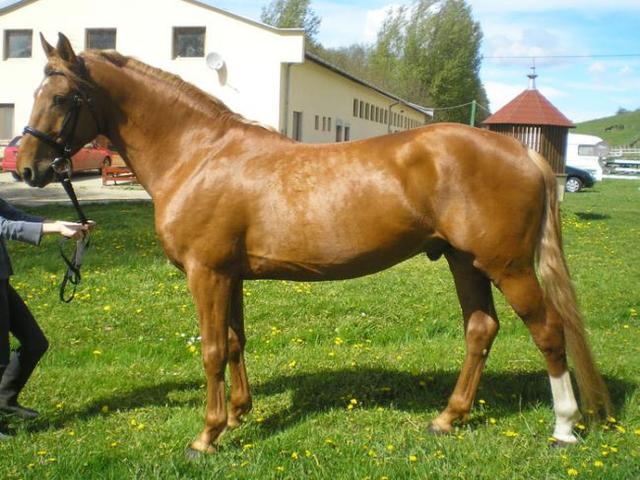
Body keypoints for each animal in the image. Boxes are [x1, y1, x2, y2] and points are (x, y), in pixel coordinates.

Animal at [18, 33, 611, 455]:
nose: (28, 168)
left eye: (64, 97)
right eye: (35, 93)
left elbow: (211, 350)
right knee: (481, 330)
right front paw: (239, 415)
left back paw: (564, 427)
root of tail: (522, 153)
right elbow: (234, 343)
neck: (199, 154)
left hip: (507, 266)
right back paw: (448, 418)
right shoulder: (230, 276)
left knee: (547, 330)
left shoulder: (206, 273)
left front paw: (207, 436)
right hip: (465, 262)